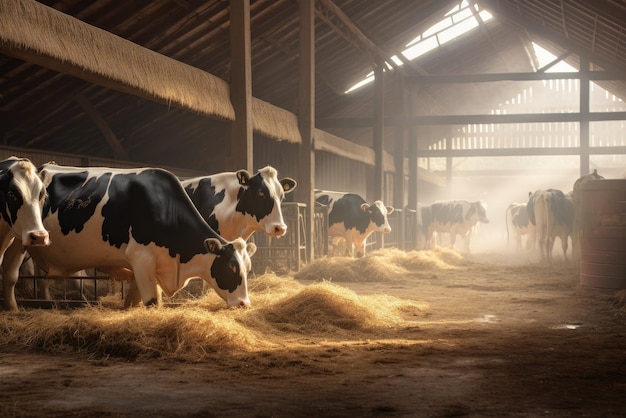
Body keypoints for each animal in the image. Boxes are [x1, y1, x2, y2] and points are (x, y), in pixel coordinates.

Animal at [0, 163, 254, 310]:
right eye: (231, 268)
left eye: (248, 268)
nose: (244, 303)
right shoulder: (142, 258)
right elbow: (151, 302)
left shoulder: (148, 266)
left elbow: (133, 299)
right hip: (18, 240)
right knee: (10, 275)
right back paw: (13, 309)